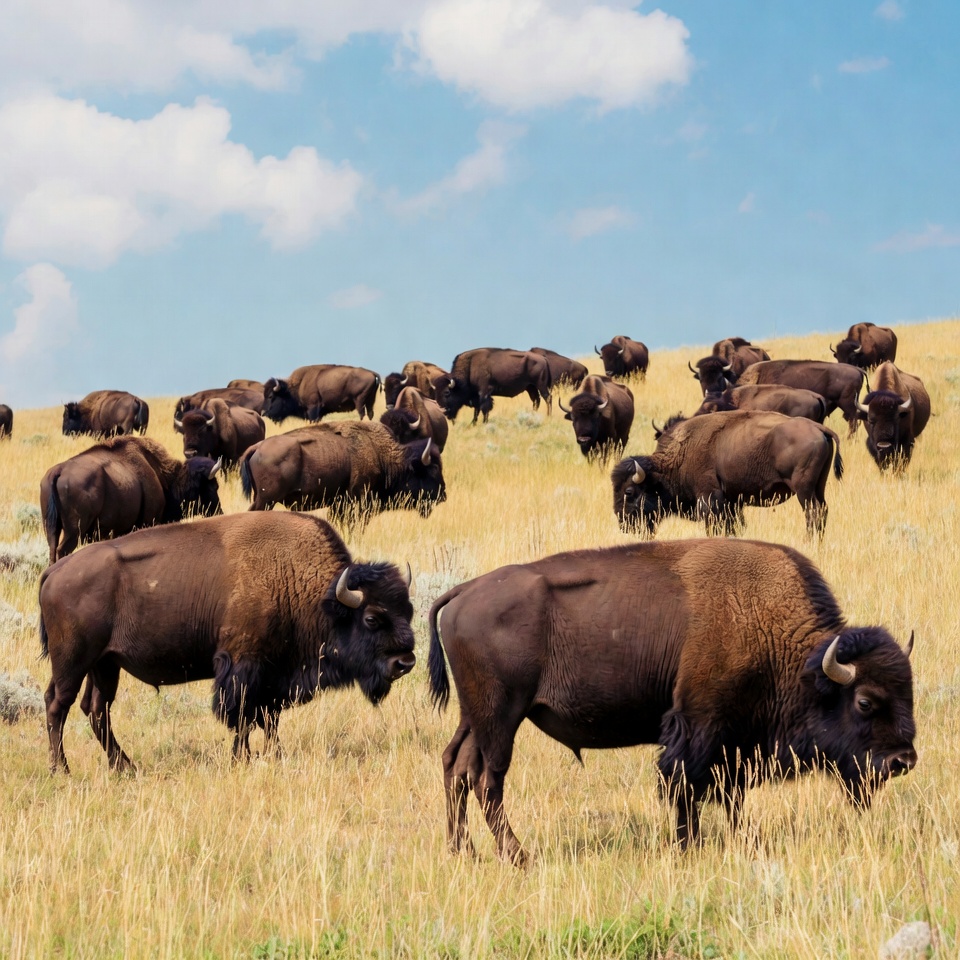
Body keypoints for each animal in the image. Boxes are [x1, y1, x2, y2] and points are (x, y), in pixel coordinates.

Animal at [40, 436, 222, 564]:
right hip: (73, 532)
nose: (220, 512)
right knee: (62, 551)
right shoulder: (149, 521)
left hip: (51, 529)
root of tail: (58, 471)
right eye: (213, 486)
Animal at [40, 511, 416, 772]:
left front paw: (275, 755)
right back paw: (62, 770)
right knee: (58, 705)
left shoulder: (273, 676)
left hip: (105, 664)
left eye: (409, 611)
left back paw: (125, 767)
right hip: (73, 662)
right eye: (372, 618)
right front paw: (242, 759)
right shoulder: (242, 667)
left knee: (96, 709)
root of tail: (55, 571)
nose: (405, 662)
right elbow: (243, 716)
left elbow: (268, 719)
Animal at [239, 420, 445, 522]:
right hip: (266, 500)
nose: (443, 496)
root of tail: (257, 447)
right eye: (433, 470)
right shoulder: (359, 501)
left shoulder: (339, 503)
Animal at [428, 538, 915, 860]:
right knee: (487, 780)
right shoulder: (700, 728)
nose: (903, 761)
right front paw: (689, 846)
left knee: (456, 766)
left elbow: (729, 795)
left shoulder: (733, 741)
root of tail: (464, 591)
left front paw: (740, 840)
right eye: (866, 702)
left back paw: (462, 851)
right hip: (501, 716)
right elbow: (687, 786)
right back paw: (517, 855)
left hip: (476, 715)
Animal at [613, 410, 843, 538]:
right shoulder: (732, 503)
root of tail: (818, 427)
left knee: (813, 513)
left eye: (629, 492)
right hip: (818, 487)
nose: (623, 524)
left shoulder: (709, 500)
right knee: (822, 510)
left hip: (803, 490)